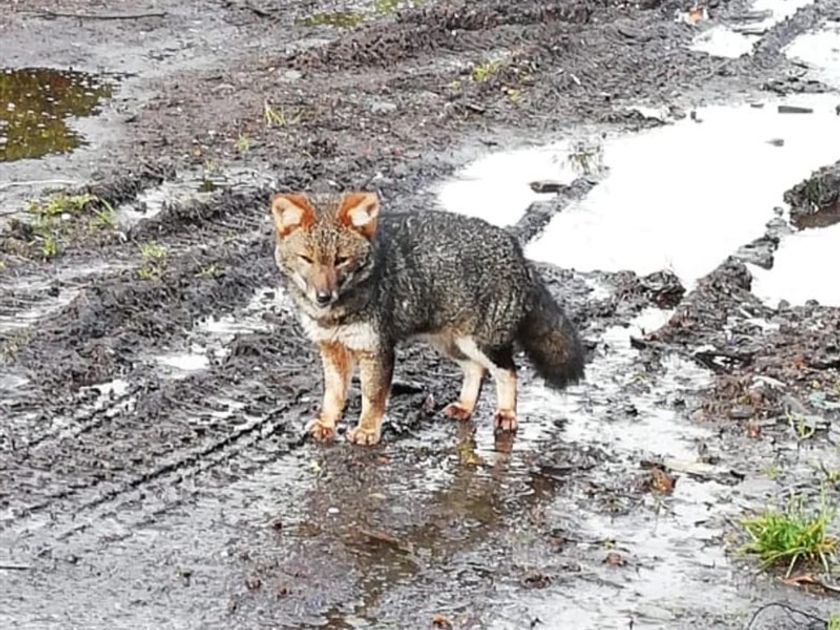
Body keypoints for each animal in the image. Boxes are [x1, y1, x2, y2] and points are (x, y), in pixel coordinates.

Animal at [270, 190, 585, 446]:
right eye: (307, 259)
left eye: (340, 260)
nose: (323, 296)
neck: (335, 314)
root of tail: (517, 249)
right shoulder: (331, 348)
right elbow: (333, 395)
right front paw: (326, 423)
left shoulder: (377, 349)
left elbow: (372, 397)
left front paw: (367, 430)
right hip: (450, 344)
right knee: (476, 370)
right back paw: (465, 406)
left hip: (480, 343)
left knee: (508, 371)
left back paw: (506, 413)